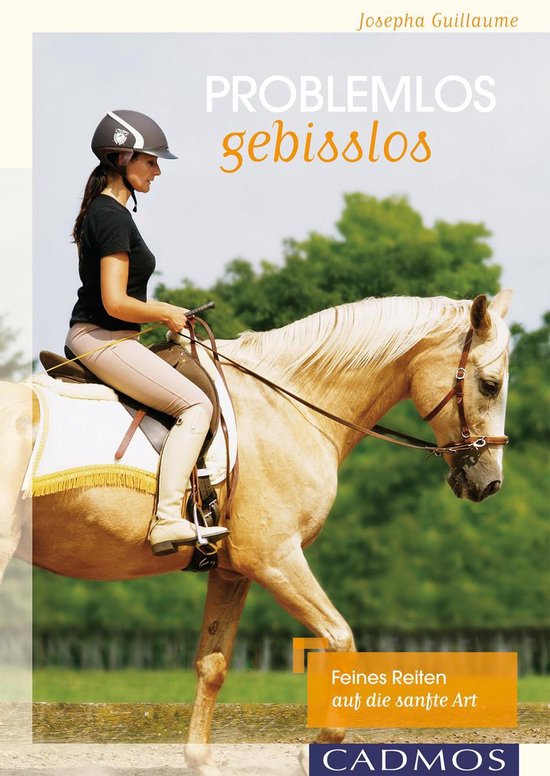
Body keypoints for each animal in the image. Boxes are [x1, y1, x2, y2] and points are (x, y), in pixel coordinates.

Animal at [1, 291, 512, 775]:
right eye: (490, 385)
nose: (490, 482)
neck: (286, 406)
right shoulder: (274, 558)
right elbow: (340, 639)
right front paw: (315, 748)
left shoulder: (233, 571)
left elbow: (213, 662)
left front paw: (201, 760)